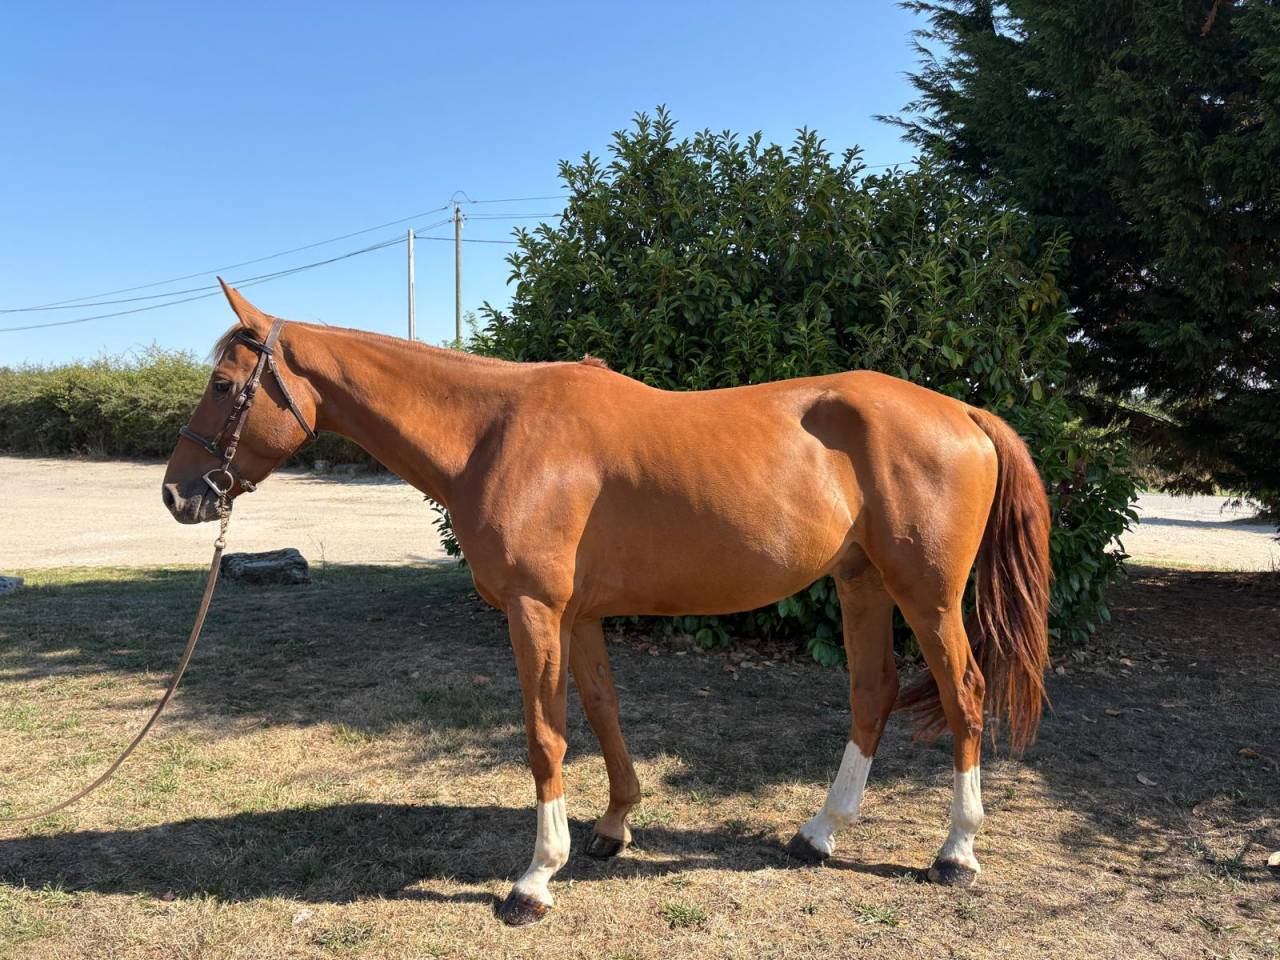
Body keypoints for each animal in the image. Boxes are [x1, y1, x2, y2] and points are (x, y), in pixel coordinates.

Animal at [162, 280, 1051, 926]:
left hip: (928, 596)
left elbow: (544, 738)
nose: (177, 494)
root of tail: (962, 411)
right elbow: (602, 712)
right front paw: (614, 828)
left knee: (965, 696)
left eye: (223, 384)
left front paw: (534, 879)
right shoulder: (579, 616)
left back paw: (956, 852)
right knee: (871, 694)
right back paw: (819, 835)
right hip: (861, 582)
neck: (495, 432)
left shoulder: (532, 612)